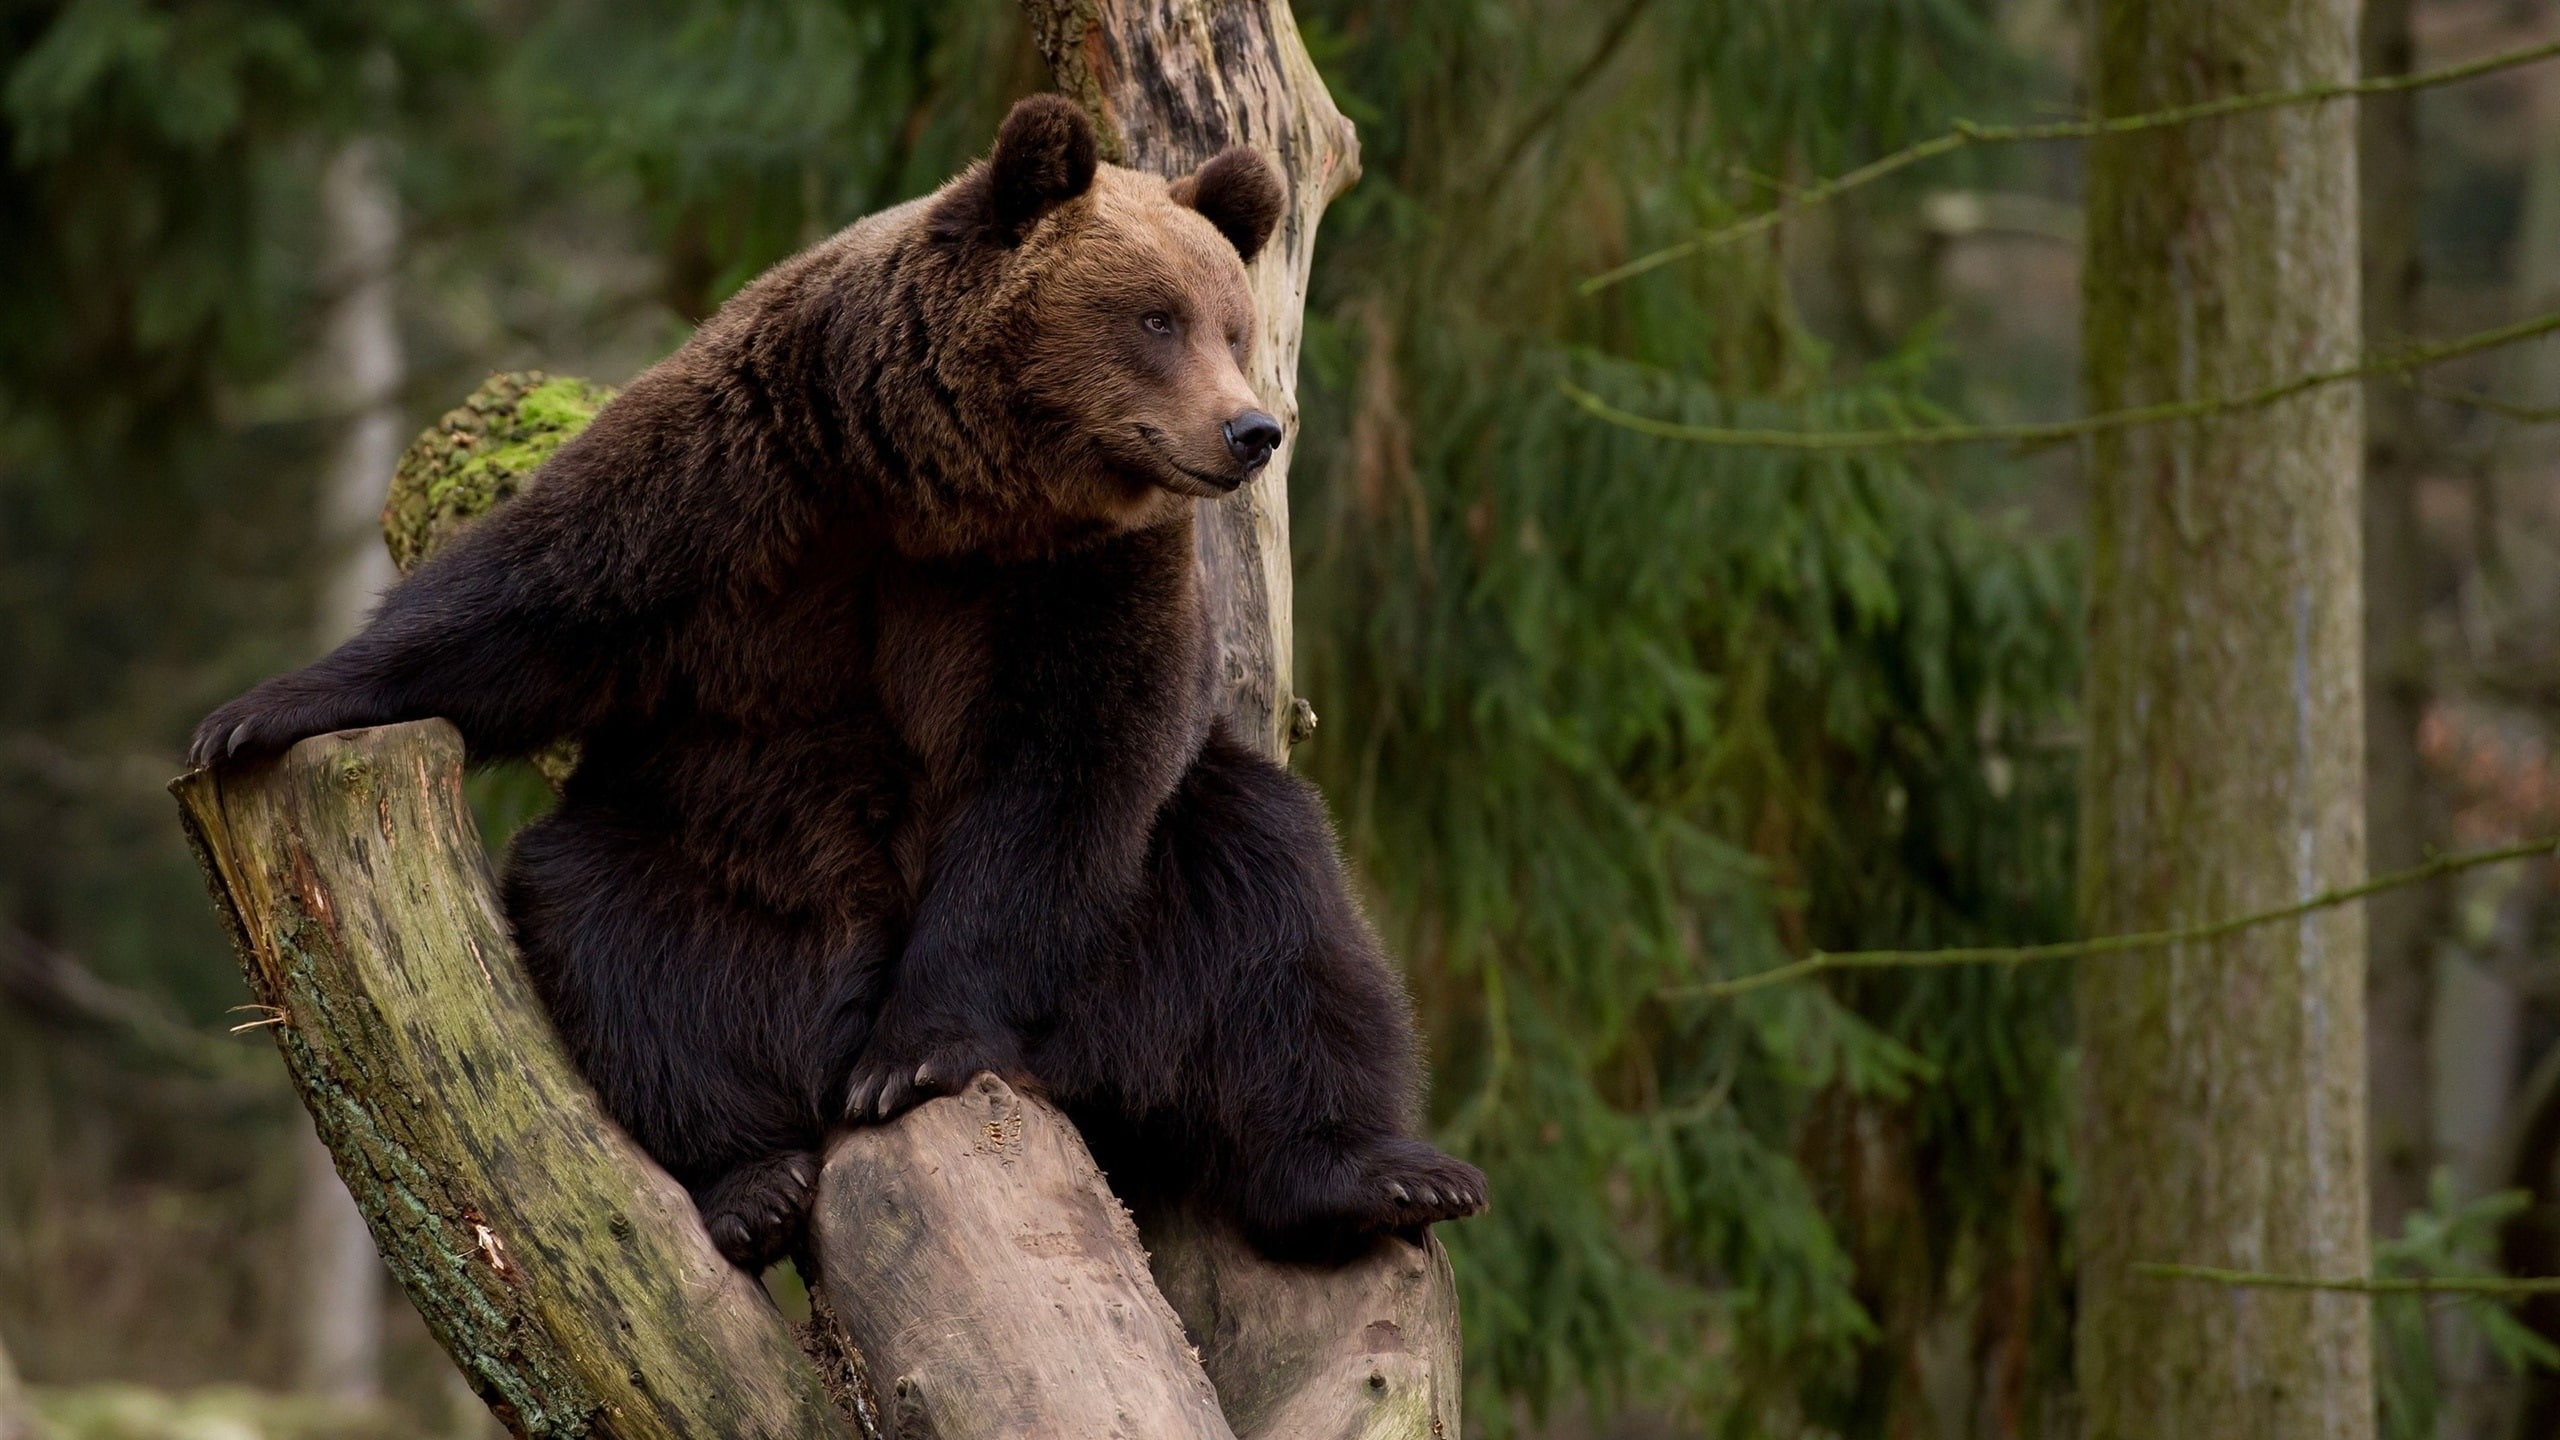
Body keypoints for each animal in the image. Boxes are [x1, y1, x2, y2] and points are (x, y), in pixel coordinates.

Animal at [191, 94, 1486, 1271]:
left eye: (1232, 325)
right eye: (1156, 317)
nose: (1250, 431)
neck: (943, 490)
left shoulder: (1085, 582)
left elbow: (1065, 774)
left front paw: (914, 1048)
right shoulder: (750, 470)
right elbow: (535, 603)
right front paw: (257, 712)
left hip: (1138, 922)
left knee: (1280, 922)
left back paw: (1379, 1174)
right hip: (719, 862)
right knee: (612, 938)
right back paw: (750, 1179)